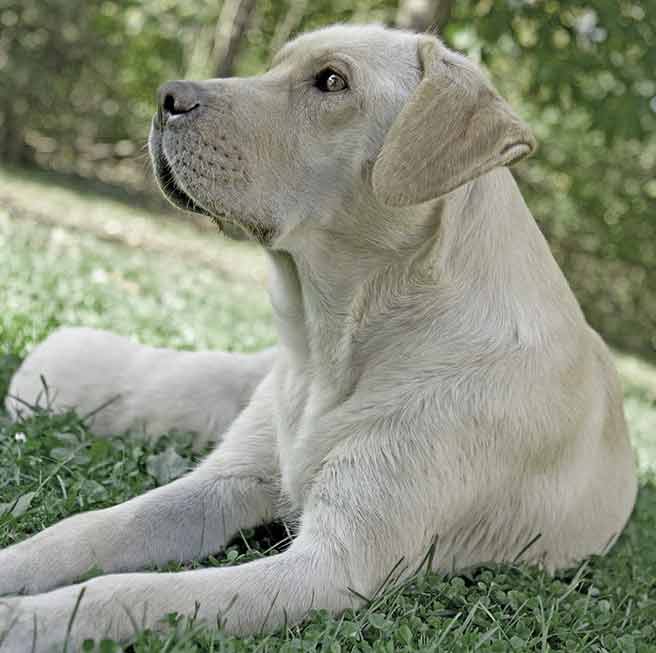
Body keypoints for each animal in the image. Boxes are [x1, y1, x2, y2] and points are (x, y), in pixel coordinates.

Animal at [0, 22, 636, 648]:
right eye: (274, 65)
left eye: (331, 81)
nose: (167, 97)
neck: (330, 345)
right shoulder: (223, 483)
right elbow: (86, 528)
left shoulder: (331, 567)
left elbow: (128, 591)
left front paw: (25, 620)